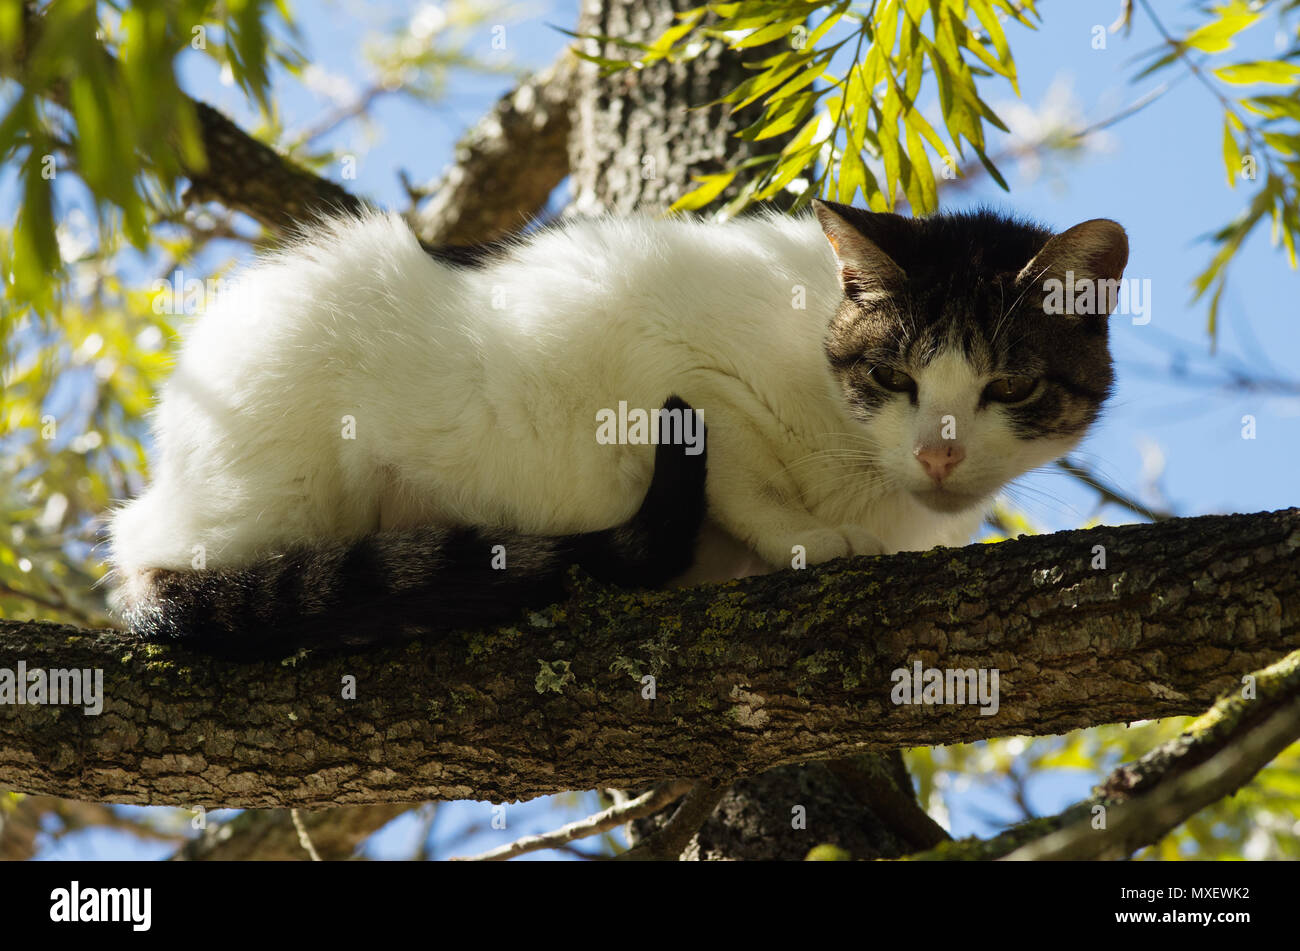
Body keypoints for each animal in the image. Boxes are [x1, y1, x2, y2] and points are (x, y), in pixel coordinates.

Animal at [109, 200, 1128, 657]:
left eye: (1010, 386)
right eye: (892, 378)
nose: (939, 450)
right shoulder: (654, 345)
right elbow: (732, 460)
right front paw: (801, 536)